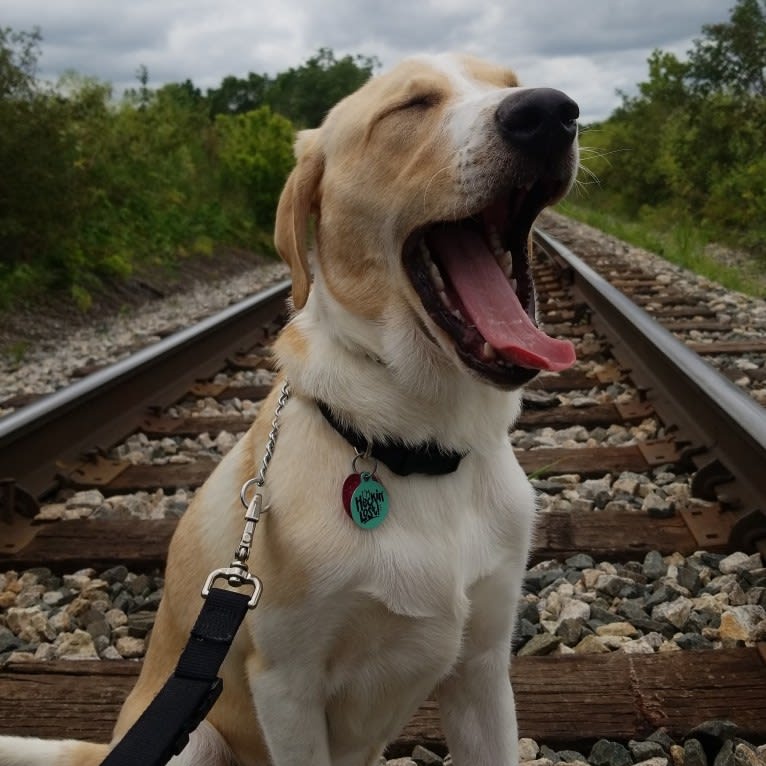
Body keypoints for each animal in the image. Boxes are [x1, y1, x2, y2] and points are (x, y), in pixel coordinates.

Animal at [0, 54, 576, 766]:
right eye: (410, 106)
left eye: (510, 83)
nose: (549, 112)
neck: (419, 443)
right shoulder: (286, 686)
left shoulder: (483, 670)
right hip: (197, 740)